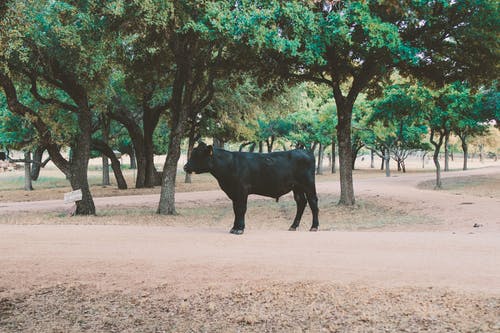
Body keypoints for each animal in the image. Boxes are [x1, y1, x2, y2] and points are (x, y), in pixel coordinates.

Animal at [185, 142, 320, 233]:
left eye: (198, 155)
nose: (185, 167)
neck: (230, 164)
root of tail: (305, 151)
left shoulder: (242, 189)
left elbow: (241, 209)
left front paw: (239, 229)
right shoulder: (234, 192)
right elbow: (235, 209)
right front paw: (234, 227)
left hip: (308, 184)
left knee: (313, 202)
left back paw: (314, 227)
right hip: (297, 187)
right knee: (301, 202)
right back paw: (293, 226)